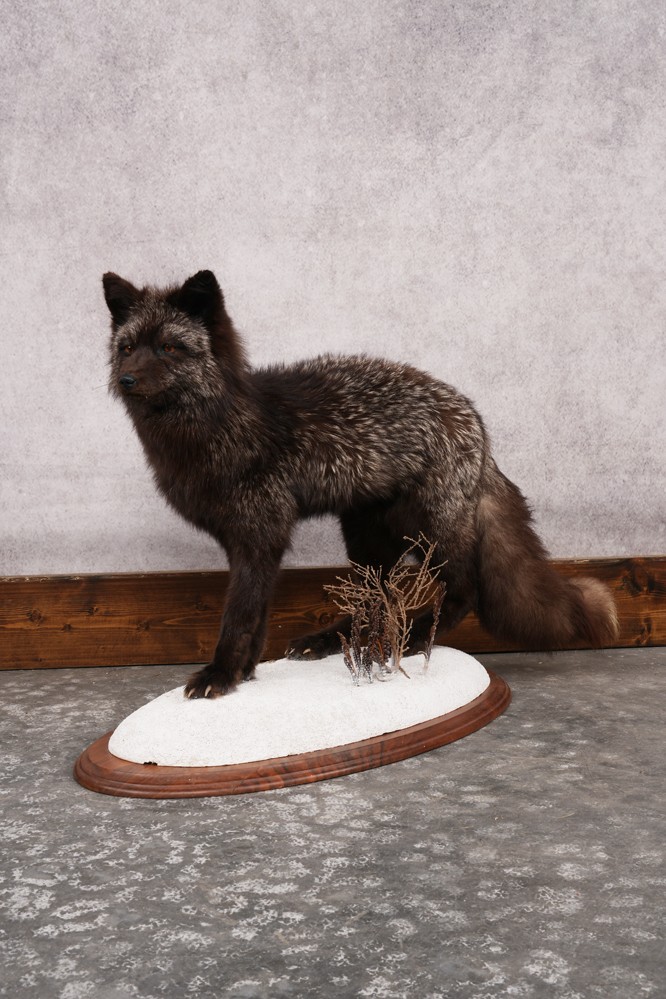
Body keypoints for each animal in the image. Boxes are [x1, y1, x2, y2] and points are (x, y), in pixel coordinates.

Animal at [102, 269, 618, 699]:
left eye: (169, 348)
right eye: (127, 348)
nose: (125, 380)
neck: (220, 429)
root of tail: (475, 419)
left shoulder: (261, 533)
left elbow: (240, 615)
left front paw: (223, 674)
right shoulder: (247, 541)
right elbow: (258, 616)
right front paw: (246, 673)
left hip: (431, 531)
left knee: (463, 591)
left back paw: (413, 639)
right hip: (365, 535)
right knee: (379, 597)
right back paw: (336, 642)